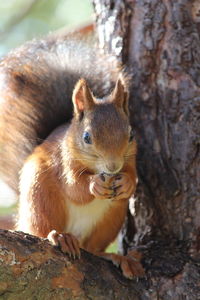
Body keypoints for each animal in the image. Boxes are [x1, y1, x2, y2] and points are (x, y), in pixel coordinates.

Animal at [0, 34, 144, 278]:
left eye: (131, 134)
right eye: (87, 137)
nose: (113, 167)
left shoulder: (131, 160)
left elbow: (133, 177)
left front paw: (126, 183)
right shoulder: (63, 160)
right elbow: (73, 187)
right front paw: (93, 185)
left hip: (111, 218)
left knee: (92, 248)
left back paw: (117, 257)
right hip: (40, 197)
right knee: (40, 230)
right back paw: (60, 237)